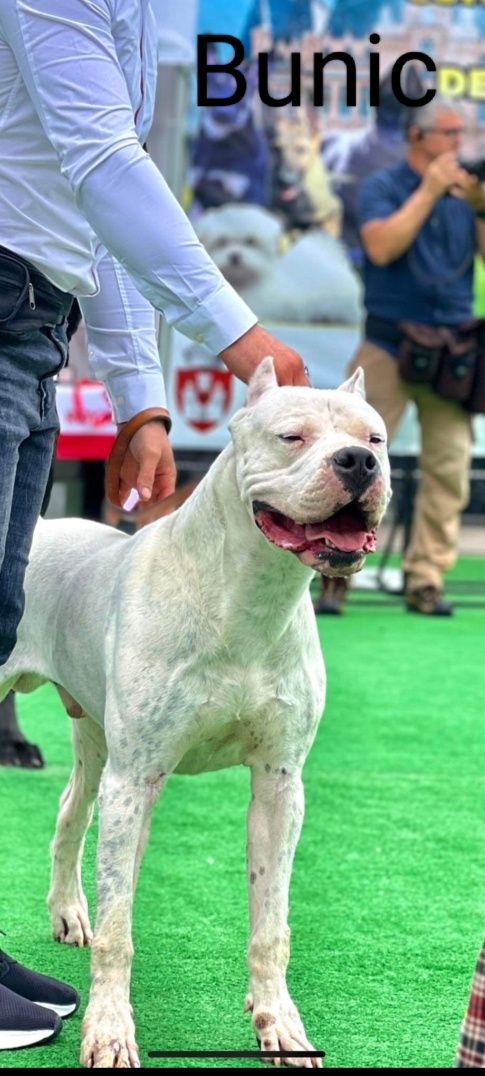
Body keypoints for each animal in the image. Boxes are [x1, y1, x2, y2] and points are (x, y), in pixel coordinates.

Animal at [0, 361, 387, 1067]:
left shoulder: (279, 785)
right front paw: (109, 1031)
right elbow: (120, 929)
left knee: (72, 815)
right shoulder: (136, 780)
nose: (357, 463)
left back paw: (68, 912)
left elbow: (270, 922)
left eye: (374, 439)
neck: (249, 599)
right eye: (292, 436)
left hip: (97, 743)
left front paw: (278, 1023)